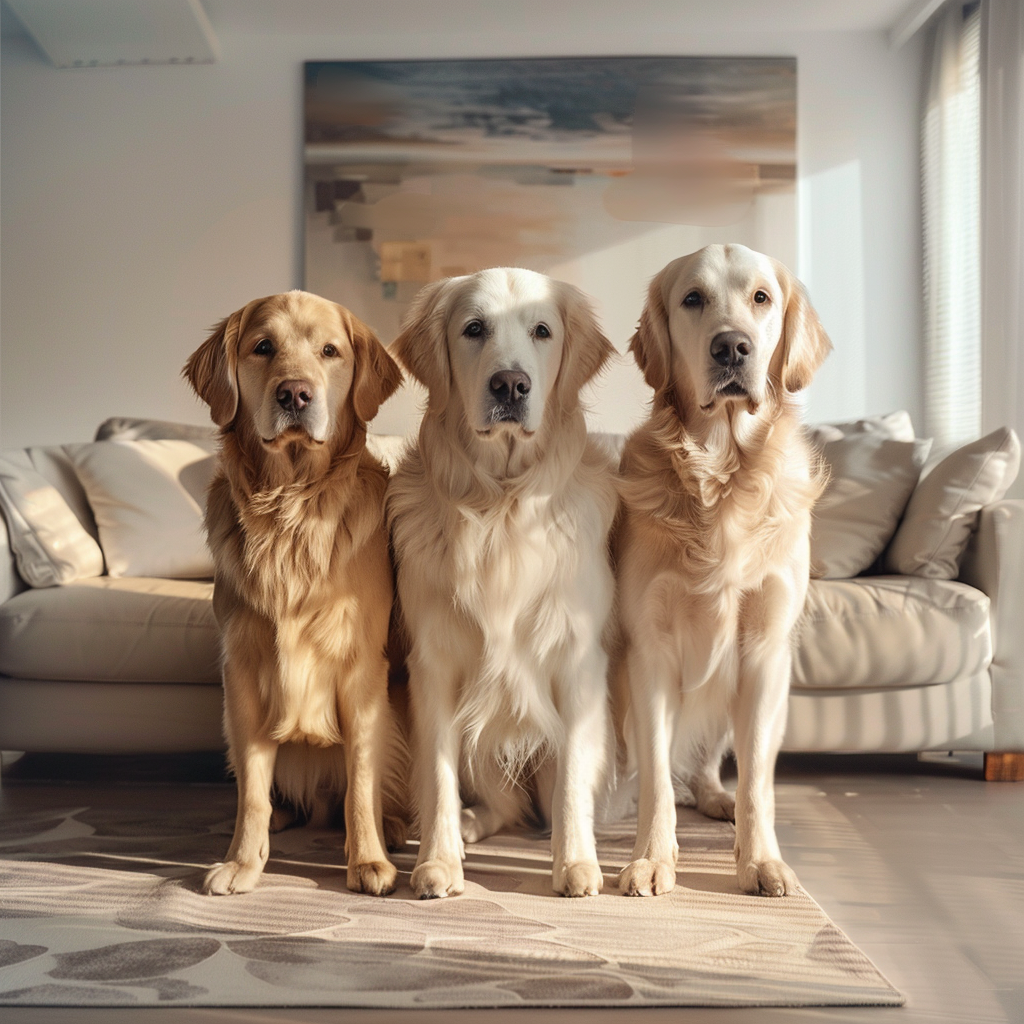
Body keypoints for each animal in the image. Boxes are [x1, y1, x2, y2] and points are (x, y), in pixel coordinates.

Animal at [182, 288, 405, 897]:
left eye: (330, 351)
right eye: (263, 347)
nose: (295, 393)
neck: (291, 505)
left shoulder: (362, 670)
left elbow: (361, 783)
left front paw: (368, 861)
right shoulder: (241, 673)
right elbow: (252, 791)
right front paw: (242, 861)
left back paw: (393, 830)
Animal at [389, 268, 614, 901]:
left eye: (542, 330)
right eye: (473, 329)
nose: (510, 385)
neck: (501, 506)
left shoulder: (578, 662)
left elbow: (572, 778)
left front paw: (576, 863)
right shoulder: (433, 665)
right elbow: (438, 774)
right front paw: (438, 862)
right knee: (503, 803)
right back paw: (463, 828)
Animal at [610, 243, 827, 901]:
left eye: (762, 297)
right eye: (692, 299)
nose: (732, 347)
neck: (723, 472)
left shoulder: (764, 651)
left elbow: (758, 779)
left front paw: (760, 861)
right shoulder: (648, 650)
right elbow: (656, 777)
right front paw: (652, 859)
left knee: (713, 763)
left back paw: (715, 799)